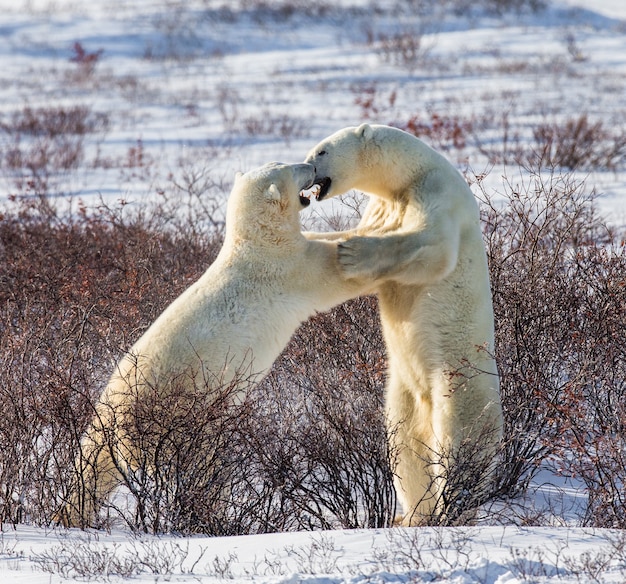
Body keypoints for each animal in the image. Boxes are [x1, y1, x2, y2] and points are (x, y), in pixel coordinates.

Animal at [62, 162, 376, 528]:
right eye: (290, 168)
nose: (311, 165)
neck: (257, 241)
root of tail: (107, 412)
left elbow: (320, 239)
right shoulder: (288, 269)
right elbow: (333, 271)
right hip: (172, 413)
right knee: (190, 460)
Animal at [304, 124, 502, 524]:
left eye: (322, 151)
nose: (306, 167)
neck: (410, 174)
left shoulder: (436, 192)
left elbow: (430, 245)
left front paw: (353, 252)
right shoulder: (383, 205)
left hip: (459, 382)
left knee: (459, 446)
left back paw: (450, 508)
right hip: (403, 392)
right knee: (405, 448)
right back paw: (411, 516)